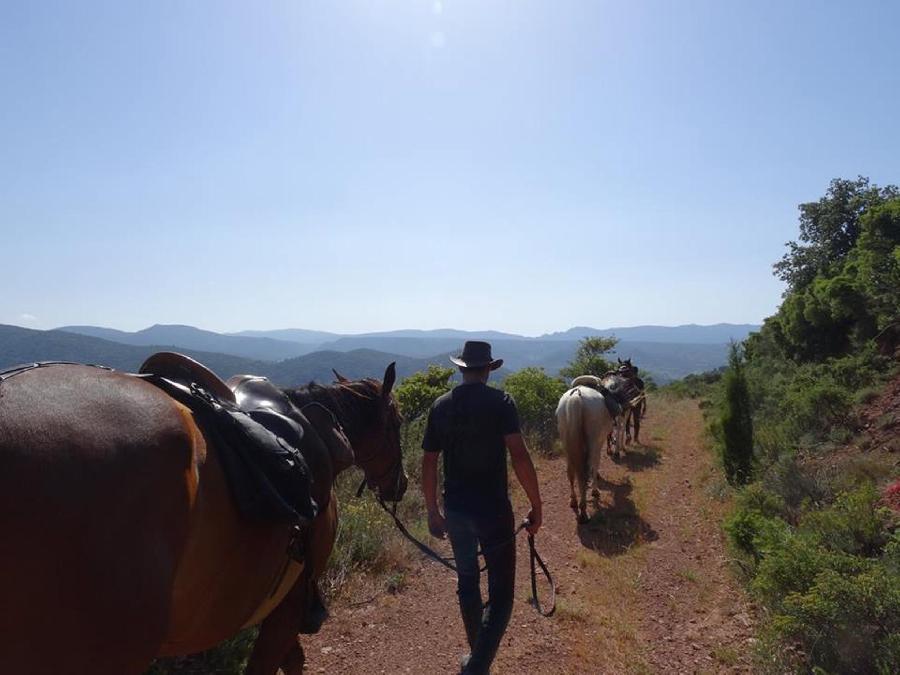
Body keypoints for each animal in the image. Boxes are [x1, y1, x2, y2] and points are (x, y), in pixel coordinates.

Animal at [556, 386, 620, 524]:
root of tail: (576, 396)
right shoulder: (598, 443)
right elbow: (595, 465)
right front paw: (595, 491)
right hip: (593, 441)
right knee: (584, 472)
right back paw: (584, 511)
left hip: (567, 444)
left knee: (571, 472)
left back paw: (574, 501)